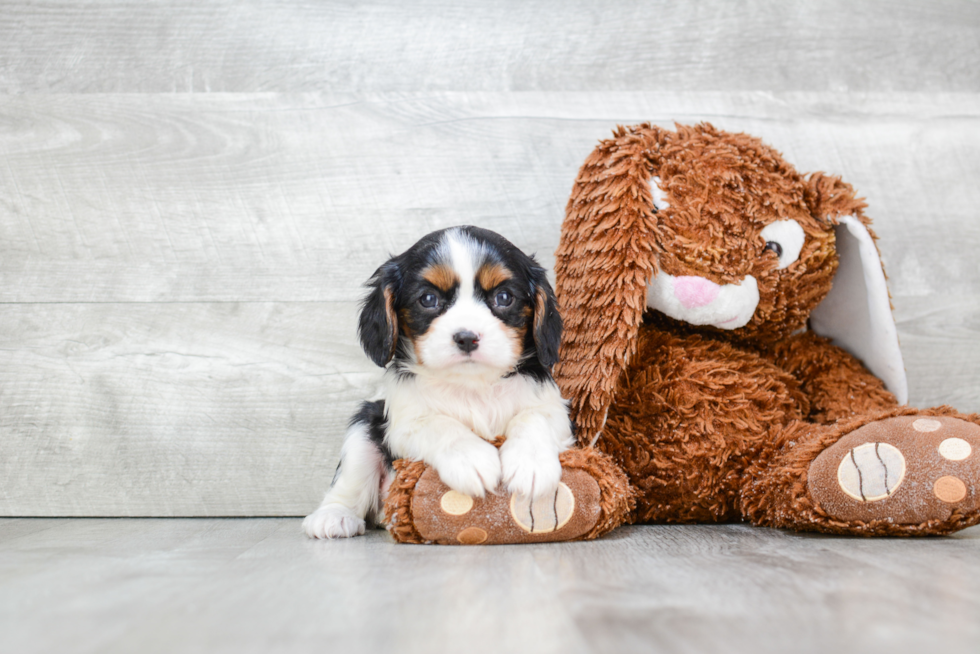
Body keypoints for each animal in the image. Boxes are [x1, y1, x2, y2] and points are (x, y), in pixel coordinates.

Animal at [302, 228, 572, 540]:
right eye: (428, 299)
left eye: (504, 297)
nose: (467, 337)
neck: (472, 384)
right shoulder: (404, 423)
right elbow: (440, 425)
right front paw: (472, 459)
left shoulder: (555, 409)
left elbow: (533, 417)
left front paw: (531, 464)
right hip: (365, 424)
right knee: (349, 481)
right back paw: (334, 516)